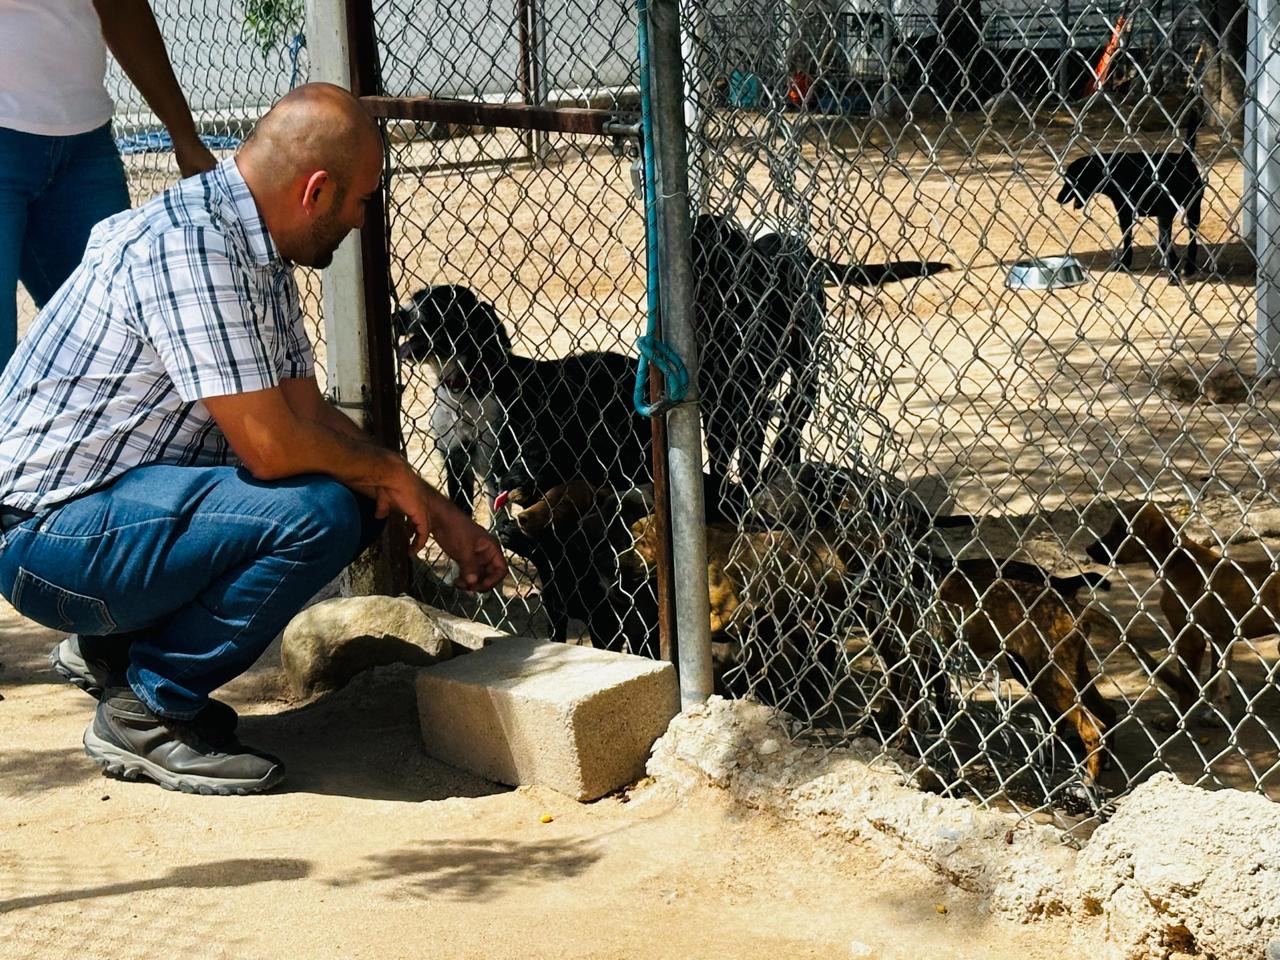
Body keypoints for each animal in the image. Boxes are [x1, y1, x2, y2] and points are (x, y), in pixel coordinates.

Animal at [391, 284, 655, 514]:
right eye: (414, 298)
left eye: (435, 303)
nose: (397, 317)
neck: (467, 386)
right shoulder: (456, 461)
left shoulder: (498, 462)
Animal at [691, 215, 952, 522]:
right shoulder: (715, 405)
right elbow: (720, 454)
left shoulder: (752, 405)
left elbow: (749, 453)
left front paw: (745, 496)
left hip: (804, 366)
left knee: (794, 416)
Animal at [1054, 108, 1203, 273]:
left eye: (1069, 180)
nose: (1058, 198)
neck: (1109, 170)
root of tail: (1183, 158)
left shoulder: (1124, 213)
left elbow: (1127, 239)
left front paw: (1124, 262)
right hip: (1192, 209)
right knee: (1190, 239)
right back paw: (1188, 267)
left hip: (1173, 213)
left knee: (1173, 242)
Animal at [1085, 504, 1274, 721]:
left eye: (1120, 531)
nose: (1088, 549)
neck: (1178, 561)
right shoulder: (1220, 637)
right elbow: (1218, 679)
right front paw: (1216, 713)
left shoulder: (1189, 638)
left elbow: (1188, 685)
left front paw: (1177, 718)